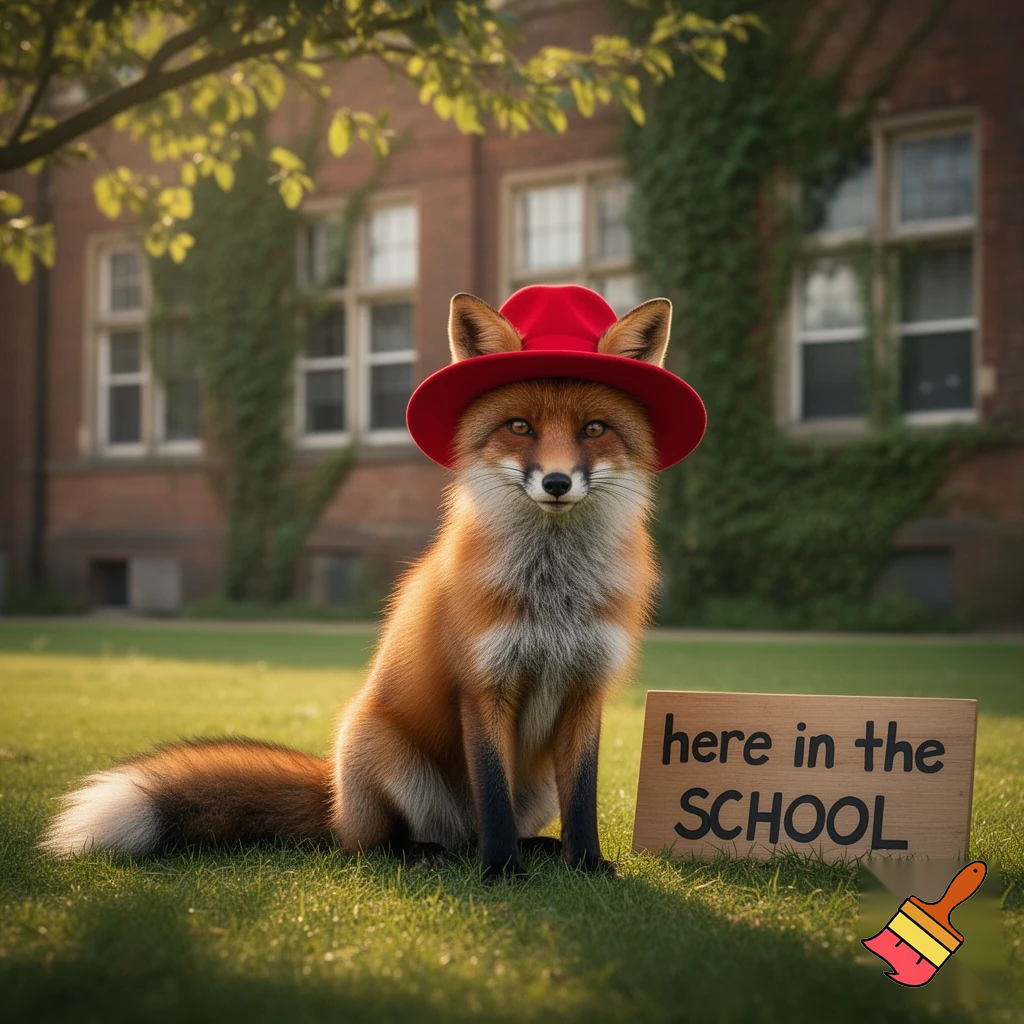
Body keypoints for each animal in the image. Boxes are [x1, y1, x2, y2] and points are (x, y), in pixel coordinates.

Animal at [40, 290, 675, 882]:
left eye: (594, 429)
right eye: (520, 426)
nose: (557, 482)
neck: (553, 595)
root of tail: (334, 801)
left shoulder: (587, 688)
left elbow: (583, 799)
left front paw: (586, 864)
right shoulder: (482, 687)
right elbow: (492, 795)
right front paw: (500, 873)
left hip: (533, 783)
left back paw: (532, 848)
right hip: (380, 748)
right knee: (377, 846)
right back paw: (426, 853)